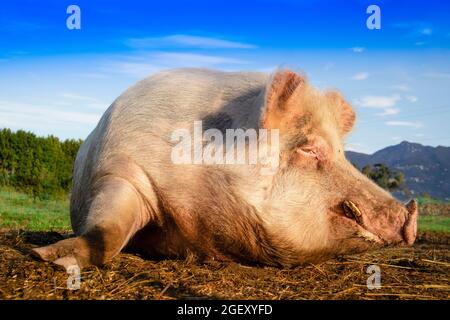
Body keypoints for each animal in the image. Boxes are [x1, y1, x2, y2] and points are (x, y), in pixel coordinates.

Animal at [31, 69, 418, 268]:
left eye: (342, 152)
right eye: (309, 147)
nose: (410, 213)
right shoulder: (119, 168)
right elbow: (107, 231)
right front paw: (49, 258)